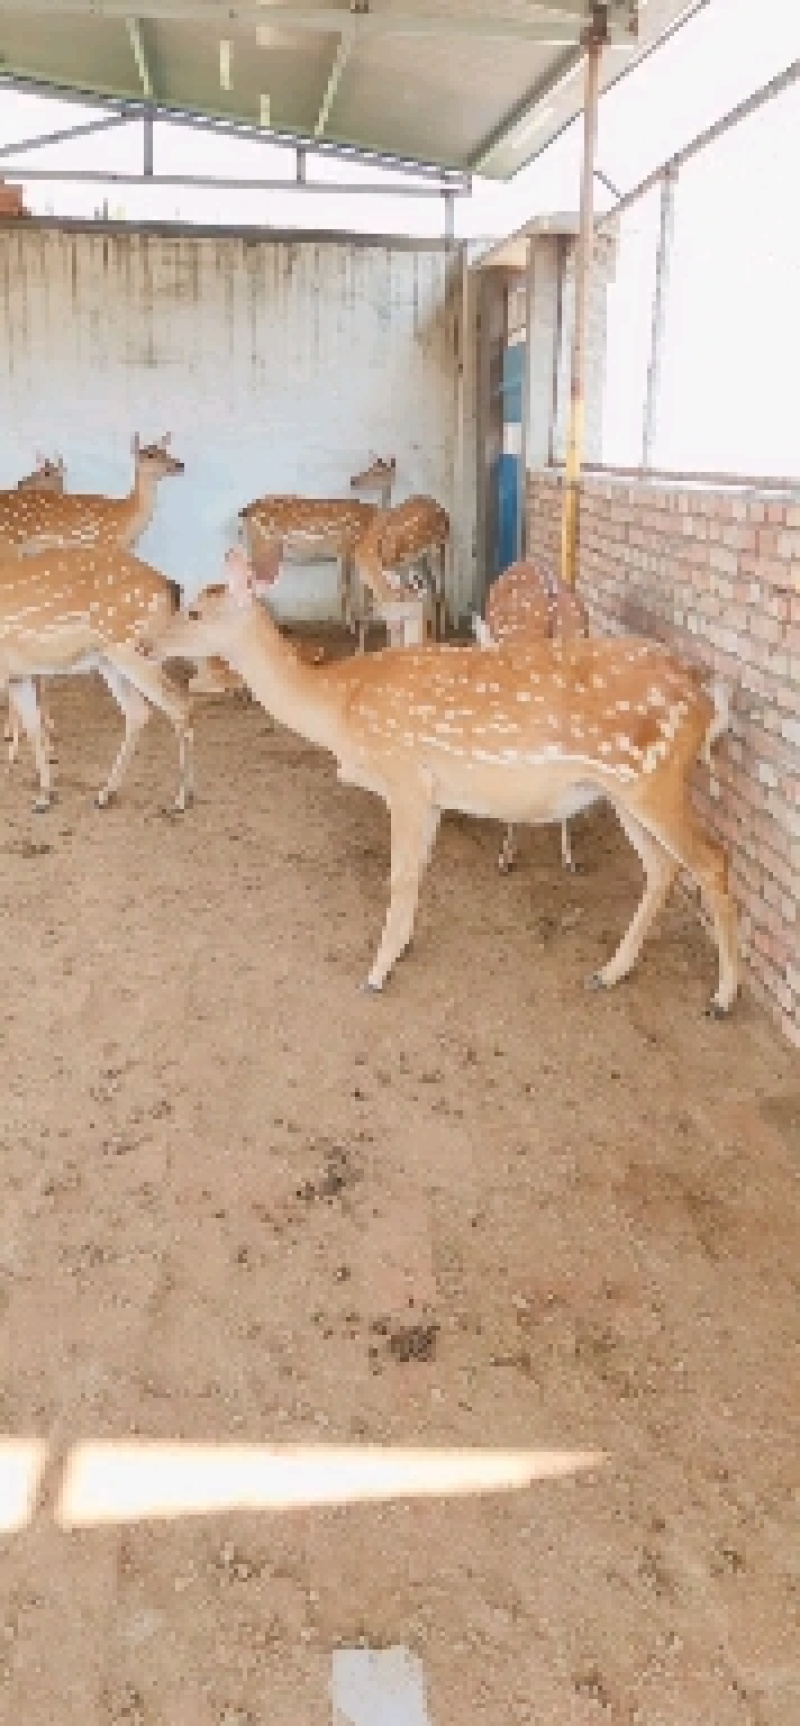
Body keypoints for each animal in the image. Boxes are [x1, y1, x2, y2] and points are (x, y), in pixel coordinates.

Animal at [0, 542, 193, 814]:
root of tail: (171, 586)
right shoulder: (19, 675)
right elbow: (33, 726)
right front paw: (45, 796)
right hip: (111, 661)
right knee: (139, 711)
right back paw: (105, 794)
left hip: (131, 649)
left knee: (178, 703)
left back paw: (181, 799)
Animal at [238, 456, 397, 632]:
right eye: (372, 468)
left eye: (378, 470)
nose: (353, 480)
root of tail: (245, 512)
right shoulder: (346, 548)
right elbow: (346, 588)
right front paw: (351, 626)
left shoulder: (345, 554)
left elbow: (350, 588)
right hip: (263, 544)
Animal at [353, 495, 451, 649]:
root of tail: (441, 512)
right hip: (425, 558)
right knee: (435, 589)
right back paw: (436, 634)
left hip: (432, 552)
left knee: (437, 590)